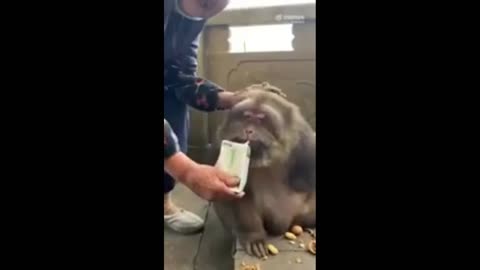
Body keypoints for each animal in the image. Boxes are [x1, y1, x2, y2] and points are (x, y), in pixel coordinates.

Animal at [214, 83, 316, 260]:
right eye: (247, 116)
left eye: (261, 119)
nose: (249, 130)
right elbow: (237, 196)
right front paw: (253, 236)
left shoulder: (305, 143)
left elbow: (306, 181)